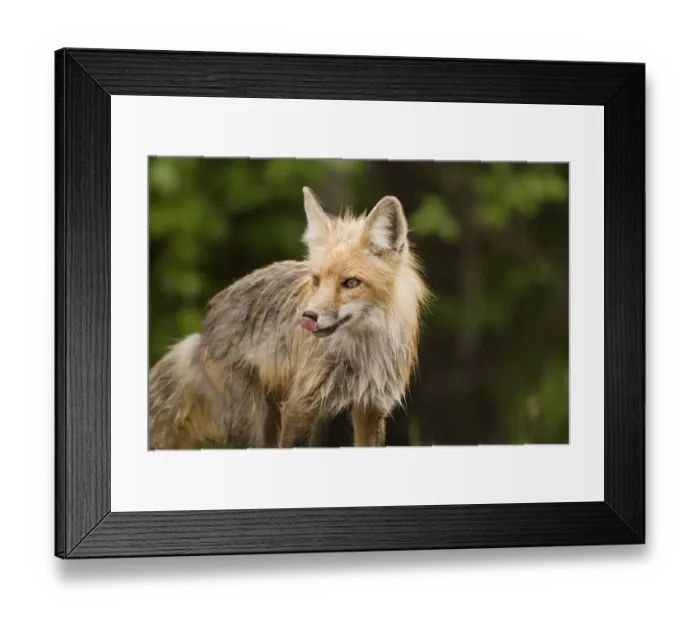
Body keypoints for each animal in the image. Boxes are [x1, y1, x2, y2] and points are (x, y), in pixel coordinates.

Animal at [148, 187, 430, 450]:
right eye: (316, 280)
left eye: (351, 282)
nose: (308, 316)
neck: (364, 353)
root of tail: (204, 327)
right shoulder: (300, 404)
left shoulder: (372, 408)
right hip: (251, 420)